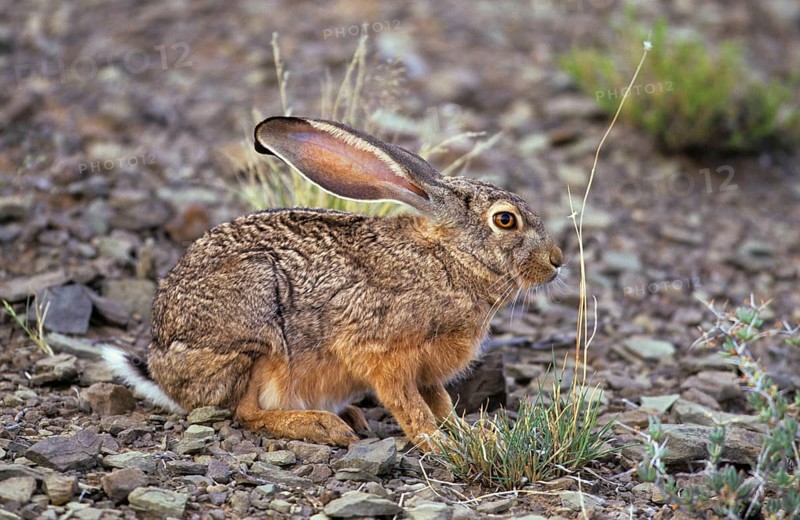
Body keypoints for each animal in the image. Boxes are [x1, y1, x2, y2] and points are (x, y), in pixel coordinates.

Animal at [104, 116, 563, 449]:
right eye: (505, 220)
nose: (556, 262)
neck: (450, 259)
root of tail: (163, 371)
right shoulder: (381, 353)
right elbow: (409, 404)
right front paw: (437, 442)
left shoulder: (428, 370)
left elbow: (442, 402)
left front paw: (472, 434)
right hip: (258, 330)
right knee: (246, 411)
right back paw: (324, 426)